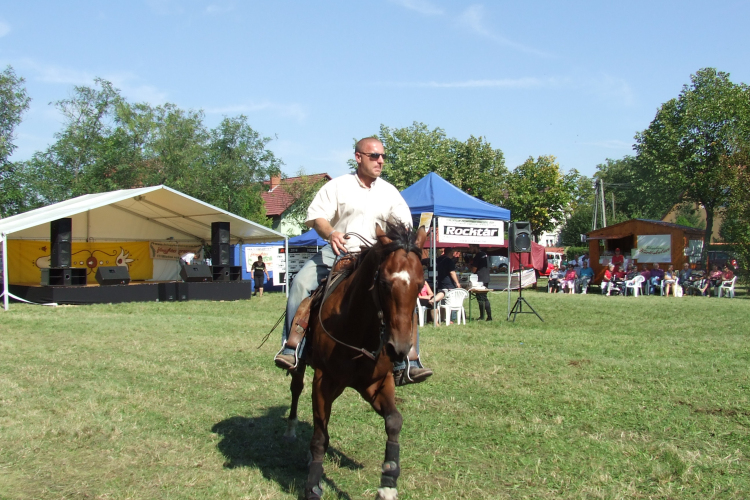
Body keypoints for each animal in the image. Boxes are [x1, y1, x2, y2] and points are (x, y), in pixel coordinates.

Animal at [284, 223, 426, 500]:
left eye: (421, 283)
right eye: (384, 282)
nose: (398, 349)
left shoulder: (377, 384)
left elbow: (394, 421)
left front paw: (388, 483)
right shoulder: (323, 381)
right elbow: (319, 436)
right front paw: (312, 485)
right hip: (301, 365)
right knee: (296, 389)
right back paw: (292, 429)